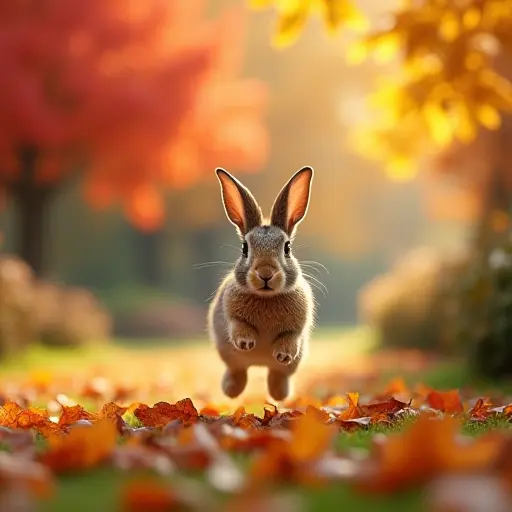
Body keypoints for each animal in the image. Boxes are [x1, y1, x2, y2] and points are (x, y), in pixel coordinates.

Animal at [206, 166, 314, 402]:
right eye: (245, 248)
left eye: (287, 248)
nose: (265, 273)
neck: (267, 297)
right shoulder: (231, 316)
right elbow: (239, 327)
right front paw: (246, 344)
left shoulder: (296, 329)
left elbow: (290, 338)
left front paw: (282, 354)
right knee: (238, 372)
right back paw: (231, 389)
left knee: (277, 377)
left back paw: (279, 394)